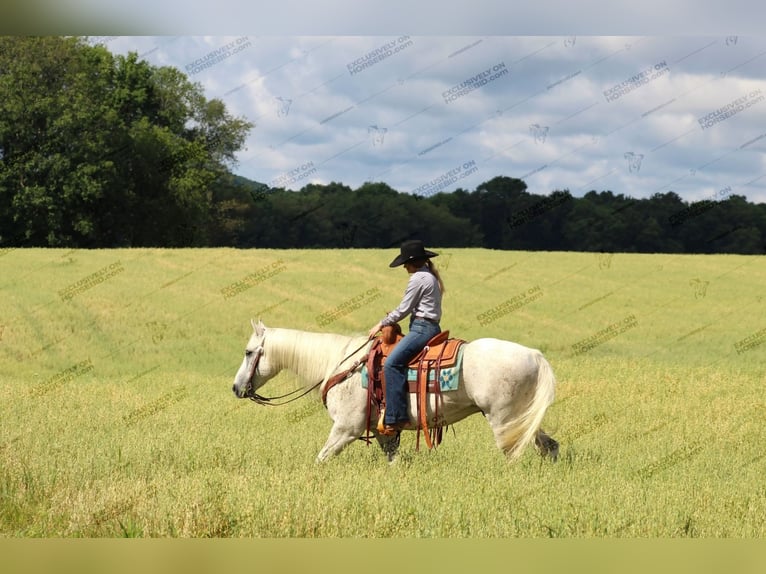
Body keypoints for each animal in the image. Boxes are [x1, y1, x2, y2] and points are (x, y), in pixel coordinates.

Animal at [231, 322, 560, 466]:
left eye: (248, 352)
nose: (236, 388)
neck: (340, 363)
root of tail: (534, 355)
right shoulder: (382, 431)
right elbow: (392, 459)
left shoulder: (346, 429)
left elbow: (321, 459)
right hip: (522, 417)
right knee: (548, 445)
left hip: (503, 420)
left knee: (514, 453)